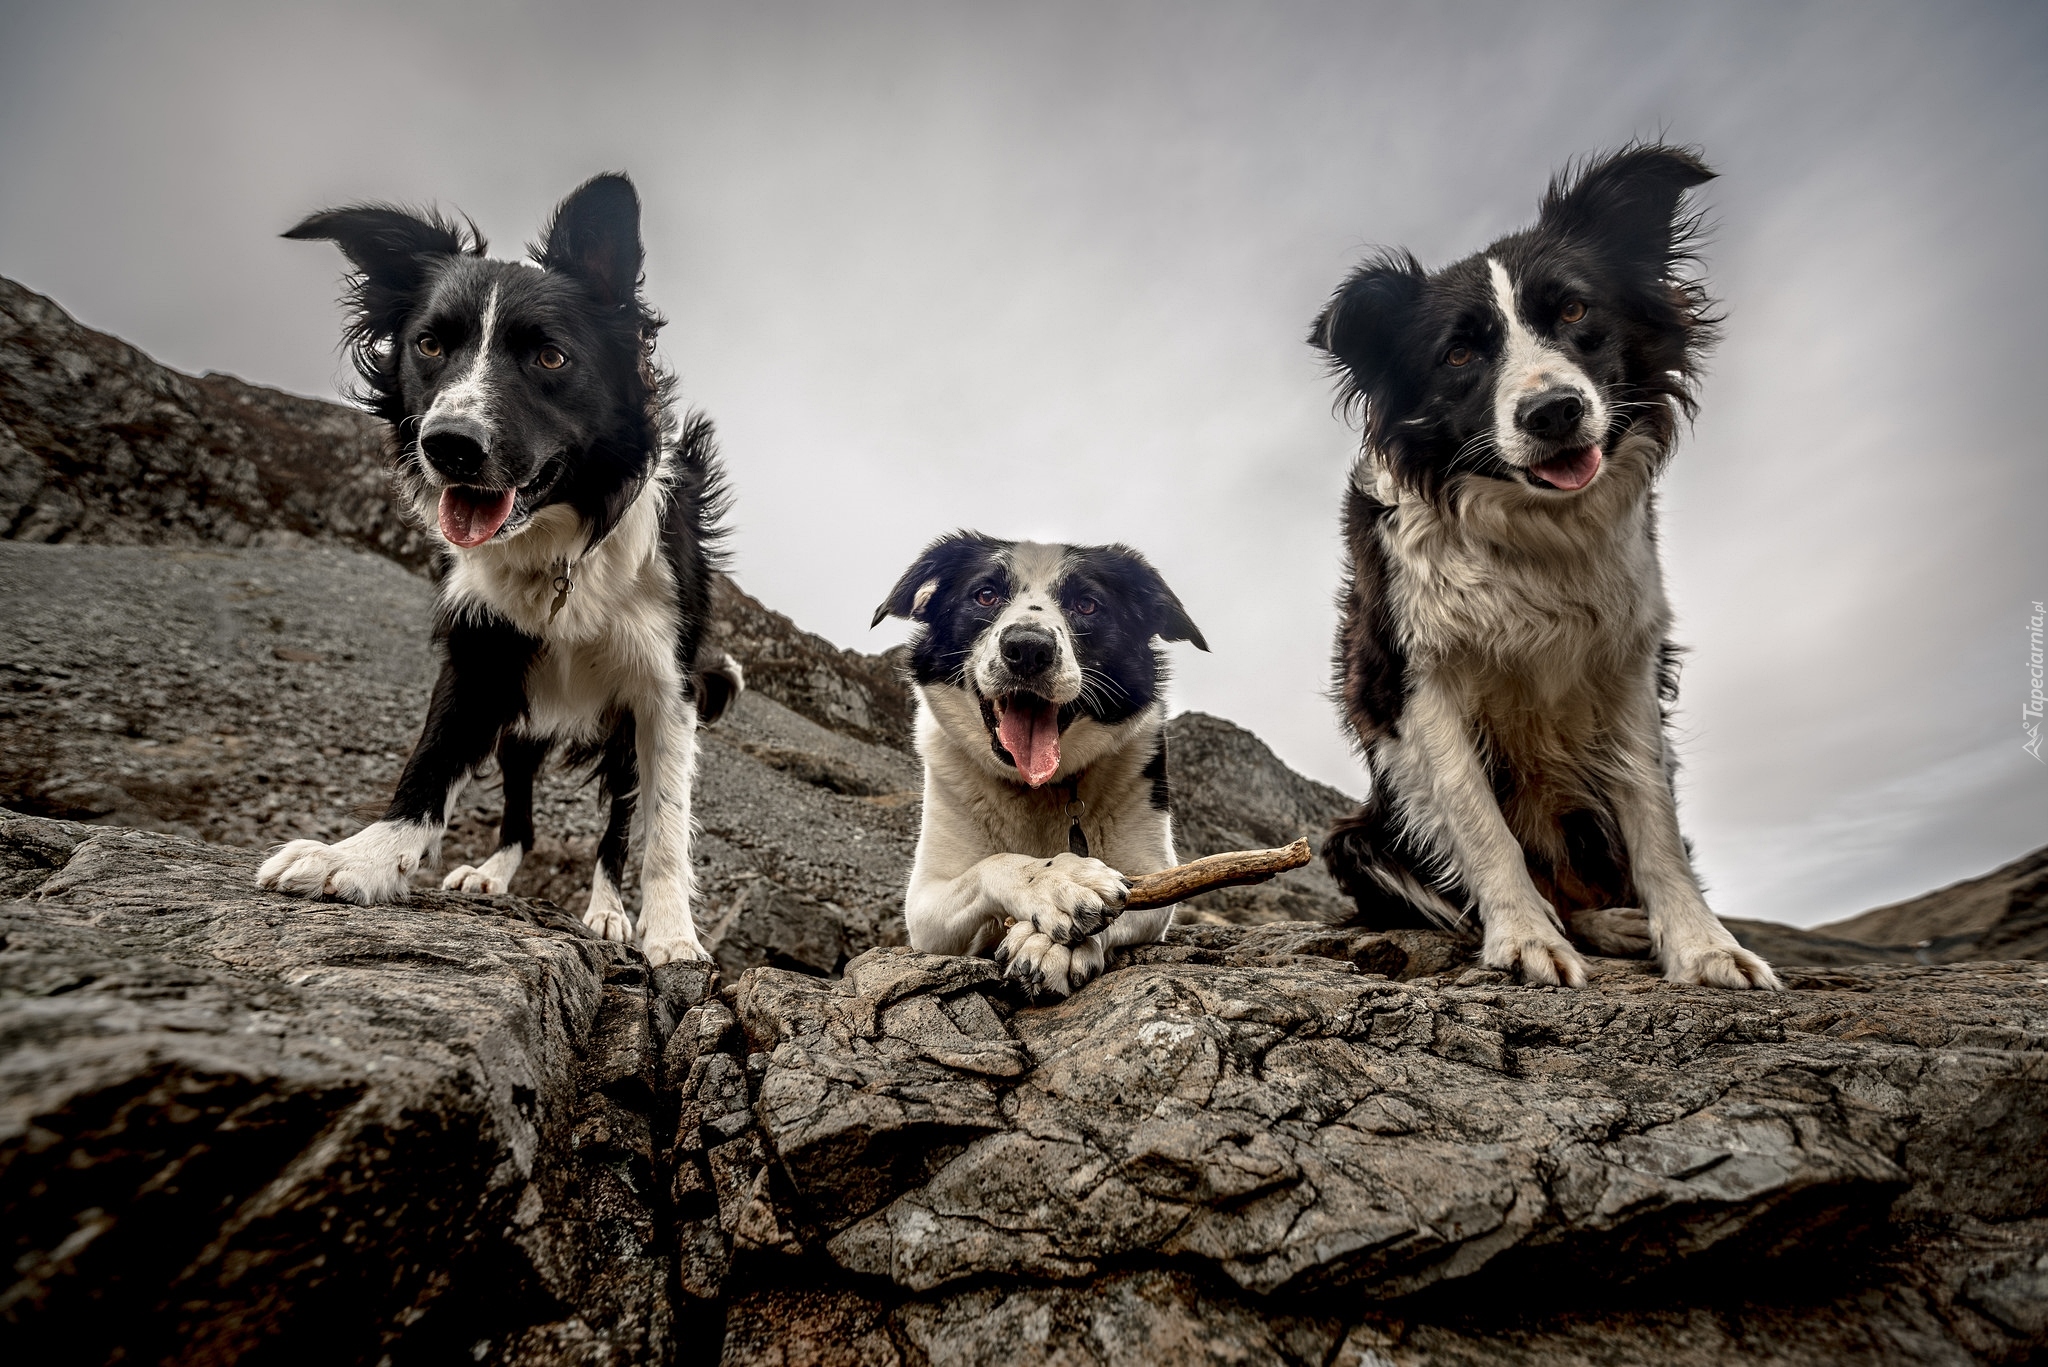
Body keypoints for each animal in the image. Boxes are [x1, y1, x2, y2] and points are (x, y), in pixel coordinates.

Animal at [253, 174, 737, 963]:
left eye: (550, 358)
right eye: (428, 344)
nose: (448, 444)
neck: (565, 545)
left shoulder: (664, 689)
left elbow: (665, 828)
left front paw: (671, 933)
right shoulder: (481, 651)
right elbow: (430, 763)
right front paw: (361, 856)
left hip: (618, 738)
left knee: (614, 830)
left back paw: (606, 911)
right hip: (522, 724)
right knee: (520, 813)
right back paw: (492, 873)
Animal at [872, 532, 1204, 996]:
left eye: (1087, 604)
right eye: (986, 594)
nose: (1028, 648)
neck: (1037, 788)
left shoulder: (1155, 876)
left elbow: (1135, 899)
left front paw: (1046, 943)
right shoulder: (924, 906)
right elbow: (993, 863)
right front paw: (1057, 880)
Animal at [1310, 141, 1777, 996]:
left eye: (1574, 313)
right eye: (1459, 352)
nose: (1553, 410)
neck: (1535, 531)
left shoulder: (1629, 665)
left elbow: (1654, 820)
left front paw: (1702, 946)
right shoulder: (1411, 677)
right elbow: (1480, 823)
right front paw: (1524, 938)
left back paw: (1621, 922)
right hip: (1355, 838)